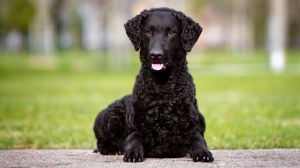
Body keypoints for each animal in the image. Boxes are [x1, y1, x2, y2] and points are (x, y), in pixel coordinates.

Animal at [94, 7, 213, 162]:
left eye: (171, 32)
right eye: (148, 31)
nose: (156, 55)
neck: (162, 88)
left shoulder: (193, 128)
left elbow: (199, 140)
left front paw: (202, 152)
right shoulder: (134, 128)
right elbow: (133, 140)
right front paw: (132, 152)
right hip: (110, 115)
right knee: (101, 144)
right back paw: (113, 150)